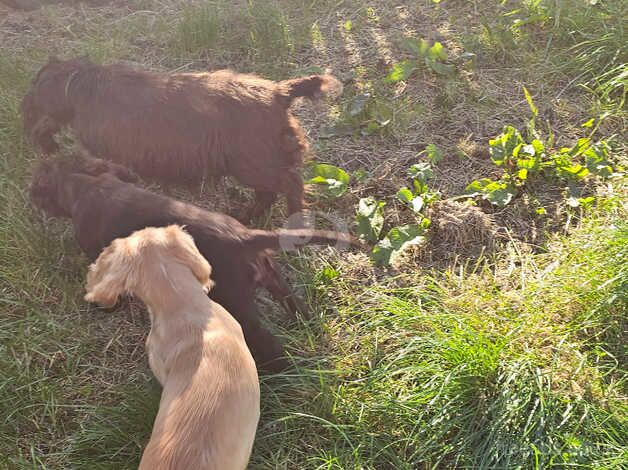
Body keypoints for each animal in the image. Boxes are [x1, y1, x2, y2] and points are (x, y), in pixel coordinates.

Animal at [22, 57, 340, 226]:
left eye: (33, 90)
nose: (27, 124)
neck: (79, 85)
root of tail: (278, 92)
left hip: (255, 163)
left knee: (290, 185)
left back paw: (294, 222)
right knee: (269, 193)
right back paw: (245, 215)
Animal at [29, 156, 356, 372]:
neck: (85, 184)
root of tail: (242, 236)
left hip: (234, 301)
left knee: (267, 343)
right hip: (272, 278)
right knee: (295, 304)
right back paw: (307, 326)